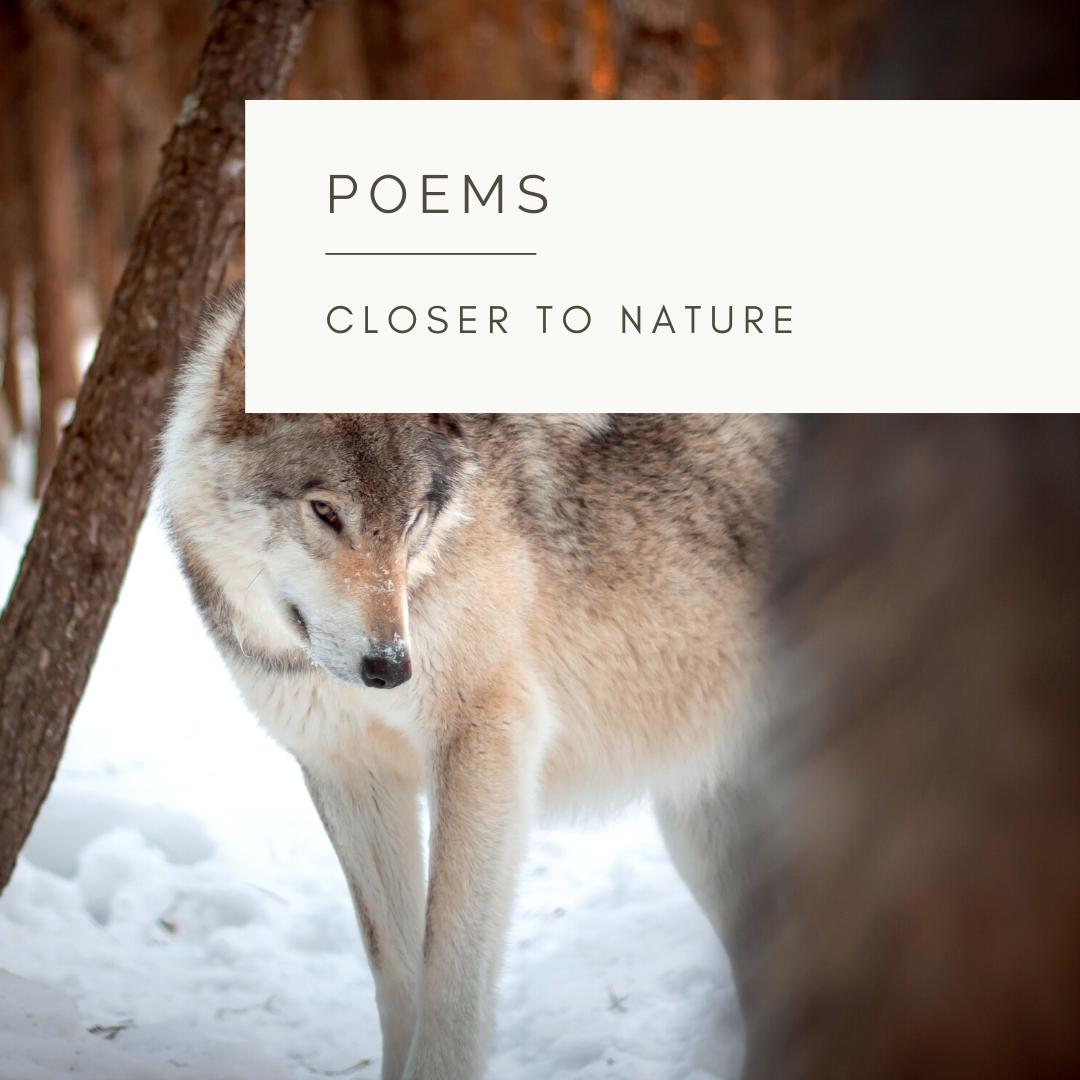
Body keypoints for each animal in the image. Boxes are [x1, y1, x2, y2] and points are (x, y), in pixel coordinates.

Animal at [157, 287, 784, 1080]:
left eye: (413, 520)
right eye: (325, 511)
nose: (391, 668)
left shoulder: (487, 739)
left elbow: (448, 975)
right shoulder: (348, 771)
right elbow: (397, 980)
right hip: (701, 825)